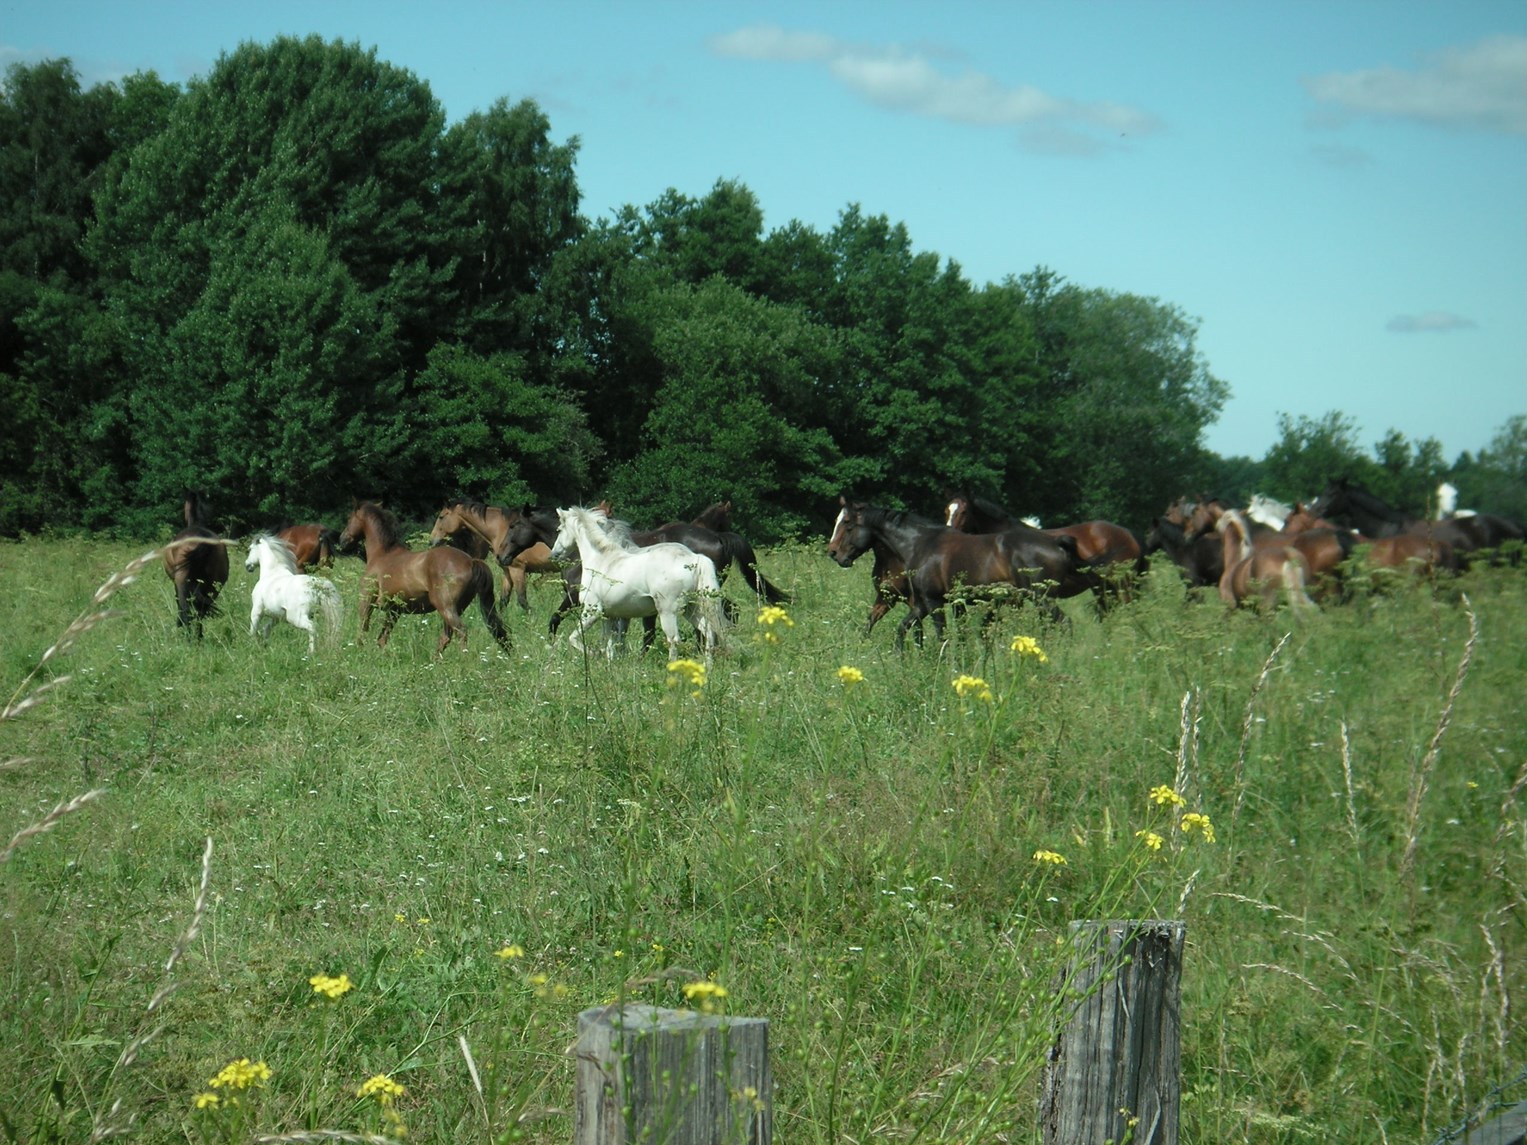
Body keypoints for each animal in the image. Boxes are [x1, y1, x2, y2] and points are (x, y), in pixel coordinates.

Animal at [165, 491, 230, 641]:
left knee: (186, 611)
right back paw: (198, 637)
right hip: (213, 586)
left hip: (183, 582)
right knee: (200, 612)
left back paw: (189, 638)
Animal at [337, 503, 510, 659]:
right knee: (446, 636)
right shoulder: (394, 611)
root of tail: (471, 561)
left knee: (461, 631)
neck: (382, 554)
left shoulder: (366, 602)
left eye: (349, 519)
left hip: (446, 608)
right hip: (455, 608)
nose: (342, 540)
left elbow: (363, 629)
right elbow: (382, 638)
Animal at [430, 500, 561, 613]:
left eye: (441, 517)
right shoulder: (507, 572)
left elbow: (522, 600)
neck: (500, 530)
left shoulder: (517, 569)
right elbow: (504, 601)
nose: (432, 541)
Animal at [549, 506, 726, 659]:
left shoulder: (593, 611)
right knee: (709, 633)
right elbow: (609, 645)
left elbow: (574, 639)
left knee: (674, 640)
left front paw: (593, 653)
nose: (553, 555)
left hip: (668, 612)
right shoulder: (609, 616)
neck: (601, 560)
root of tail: (694, 559)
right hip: (692, 609)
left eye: (559, 529)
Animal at [824, 500, 1099, 650]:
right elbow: (904, 628)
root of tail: (1058, 543)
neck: (920, 543)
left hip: (1042, 598)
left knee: (1064, 624)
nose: (834, 554)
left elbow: (941, 635)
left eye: (847, 524)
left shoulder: (933, 602)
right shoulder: (923, 603)